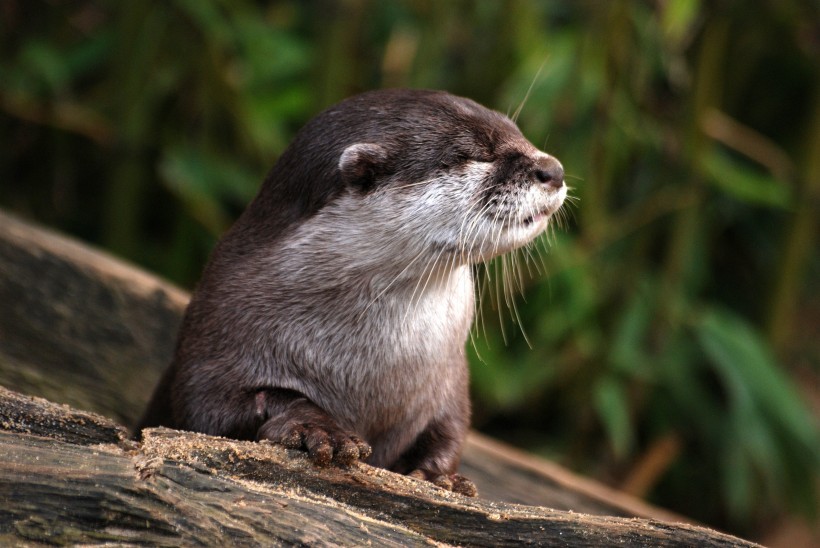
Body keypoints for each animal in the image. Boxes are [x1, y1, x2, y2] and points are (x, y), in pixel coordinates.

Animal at [138, 88, 568, 494]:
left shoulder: (450, 379)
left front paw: (440, 477)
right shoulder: (215, 342)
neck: (373, 367)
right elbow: (212, 409)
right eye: (475, 155)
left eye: (518, 133)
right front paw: (318, 428)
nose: (553, 169)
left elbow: (451, 427)